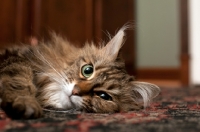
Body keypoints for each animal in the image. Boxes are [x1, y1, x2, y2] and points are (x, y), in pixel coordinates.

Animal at [0, 25, 160, 119]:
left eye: (103, 96)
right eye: (87, 70)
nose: (75, 91)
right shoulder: (15, 59)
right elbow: (20, 82)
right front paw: (26, 103)